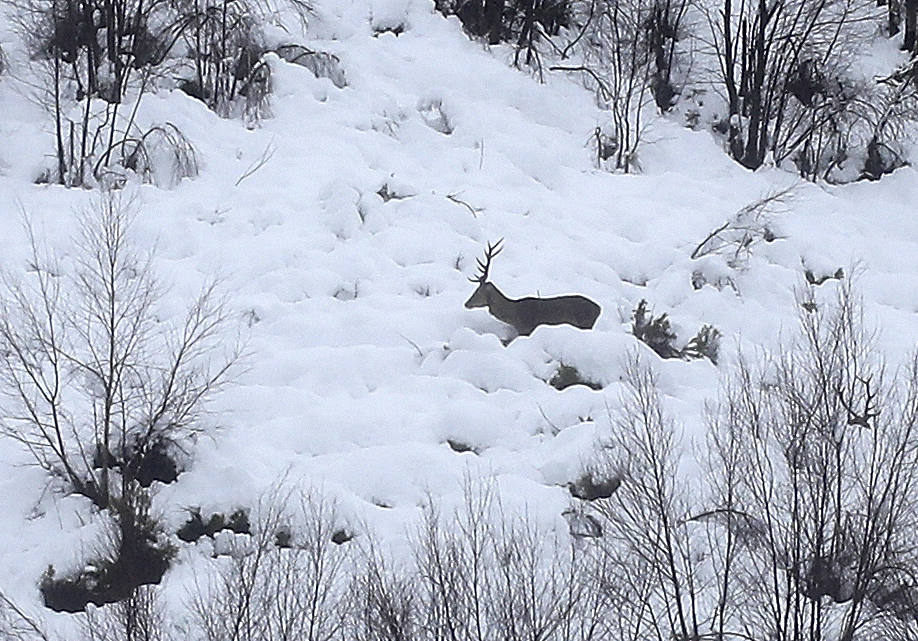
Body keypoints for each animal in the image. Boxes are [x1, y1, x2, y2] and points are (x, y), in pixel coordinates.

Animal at [464, 239, 600, 336]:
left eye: (478, 291)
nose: (466, 303)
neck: (514, 314)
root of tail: (599, 309)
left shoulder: (527, 329)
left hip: (585, 324)